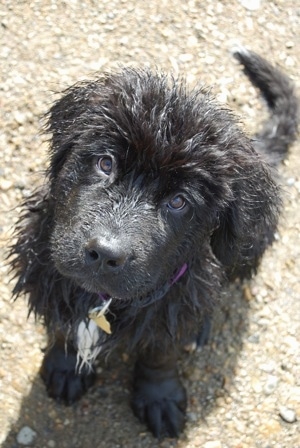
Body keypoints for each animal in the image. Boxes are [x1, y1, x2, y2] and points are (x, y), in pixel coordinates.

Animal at [11, 50, 298, 438]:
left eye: (178, 201)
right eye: (105, 163)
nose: (105, 254)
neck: (102, 302)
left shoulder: (175, 299)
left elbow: (161, 352)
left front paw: (158, 398)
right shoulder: (45, 271)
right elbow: (62, 326)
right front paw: (65, 366)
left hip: (248, 246)